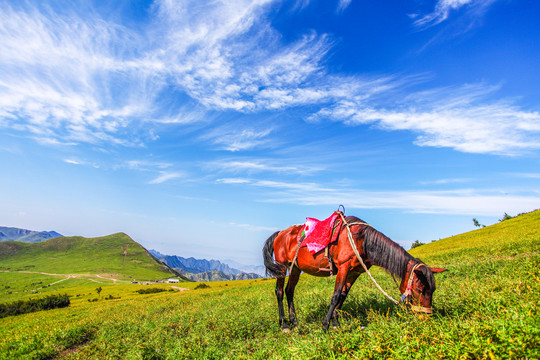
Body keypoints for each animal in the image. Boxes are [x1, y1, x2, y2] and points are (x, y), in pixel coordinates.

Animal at [262, 212, 448, 334]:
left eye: (433, 290)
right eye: (420, 289)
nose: (426, 318)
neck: (362, 240)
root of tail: (281, 233)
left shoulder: (354, 272)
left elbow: (343, 296)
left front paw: (335, 323)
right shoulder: (343, 268)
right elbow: (335, 295)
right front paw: (325, 325)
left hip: (295, 268)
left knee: (289, 291)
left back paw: (294, 322)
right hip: (282, 266)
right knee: (279, 292)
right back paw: (284, 325)